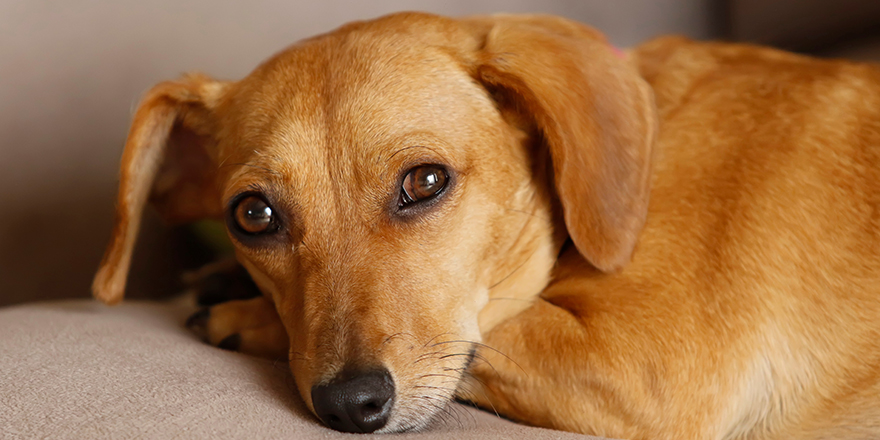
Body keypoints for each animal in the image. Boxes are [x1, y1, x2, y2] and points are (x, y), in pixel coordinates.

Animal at [91, 12, 880, 438]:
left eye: (425, 181)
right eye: (253, 216)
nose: (350, 406)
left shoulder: (646, 370)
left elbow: (490, 335)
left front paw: (240, 315)